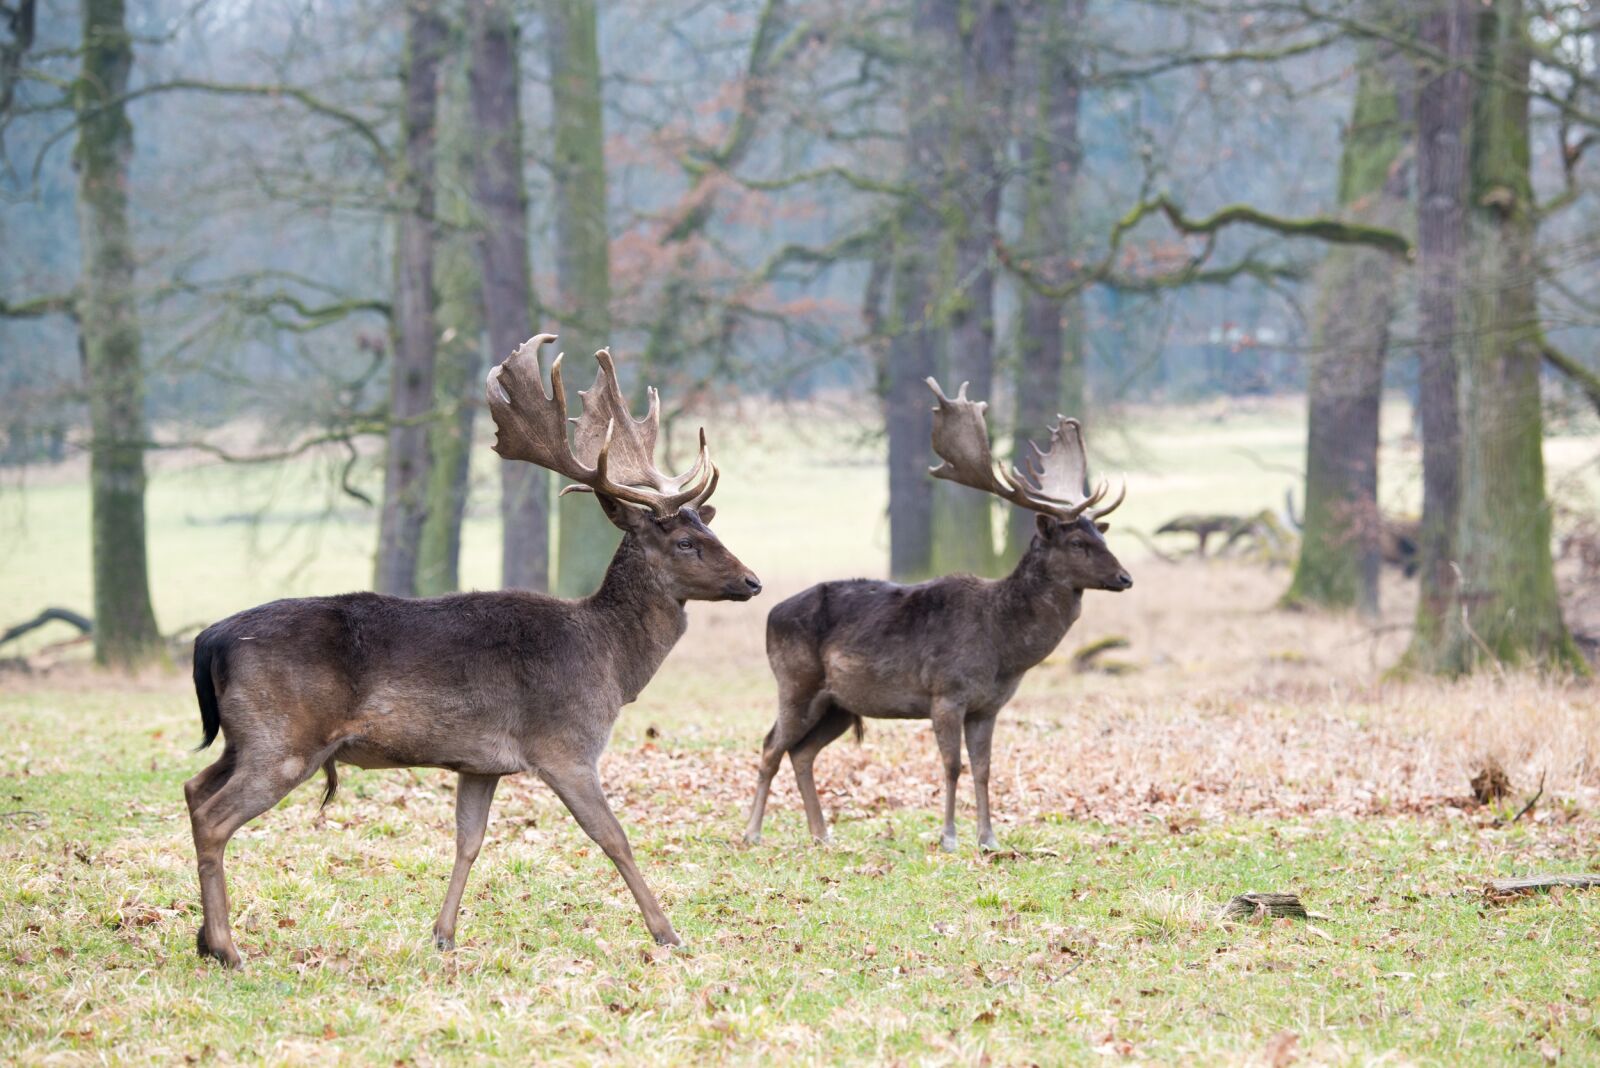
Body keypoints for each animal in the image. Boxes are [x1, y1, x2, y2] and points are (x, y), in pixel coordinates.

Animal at [183, 334, 761, 967]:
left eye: (711, 530)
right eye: (684, 542)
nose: (753, 581)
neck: (609, 662)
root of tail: (210, 639)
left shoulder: (480, 762)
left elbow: (469, 840)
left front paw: (443, 935)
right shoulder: (566, 745)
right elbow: (614, 837)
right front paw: (668, 934)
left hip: (246, 736)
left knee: (192, 787)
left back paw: (206, 938)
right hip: (284, 738)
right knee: (213, 816)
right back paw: (227, 949)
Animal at [743, 378, 1130, 852]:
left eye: (1101, 534)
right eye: (1077, 542)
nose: (1124, 577)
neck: (1003, 648)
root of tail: (770, 614)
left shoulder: (988, 706)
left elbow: (984, 769)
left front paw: (988, 838)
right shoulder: (946, 692)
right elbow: (952, 765)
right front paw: (948, 837)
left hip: (837, 703)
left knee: (802, 751)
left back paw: (821, 834)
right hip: (795, 681)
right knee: (770, 745)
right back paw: (752, 832)